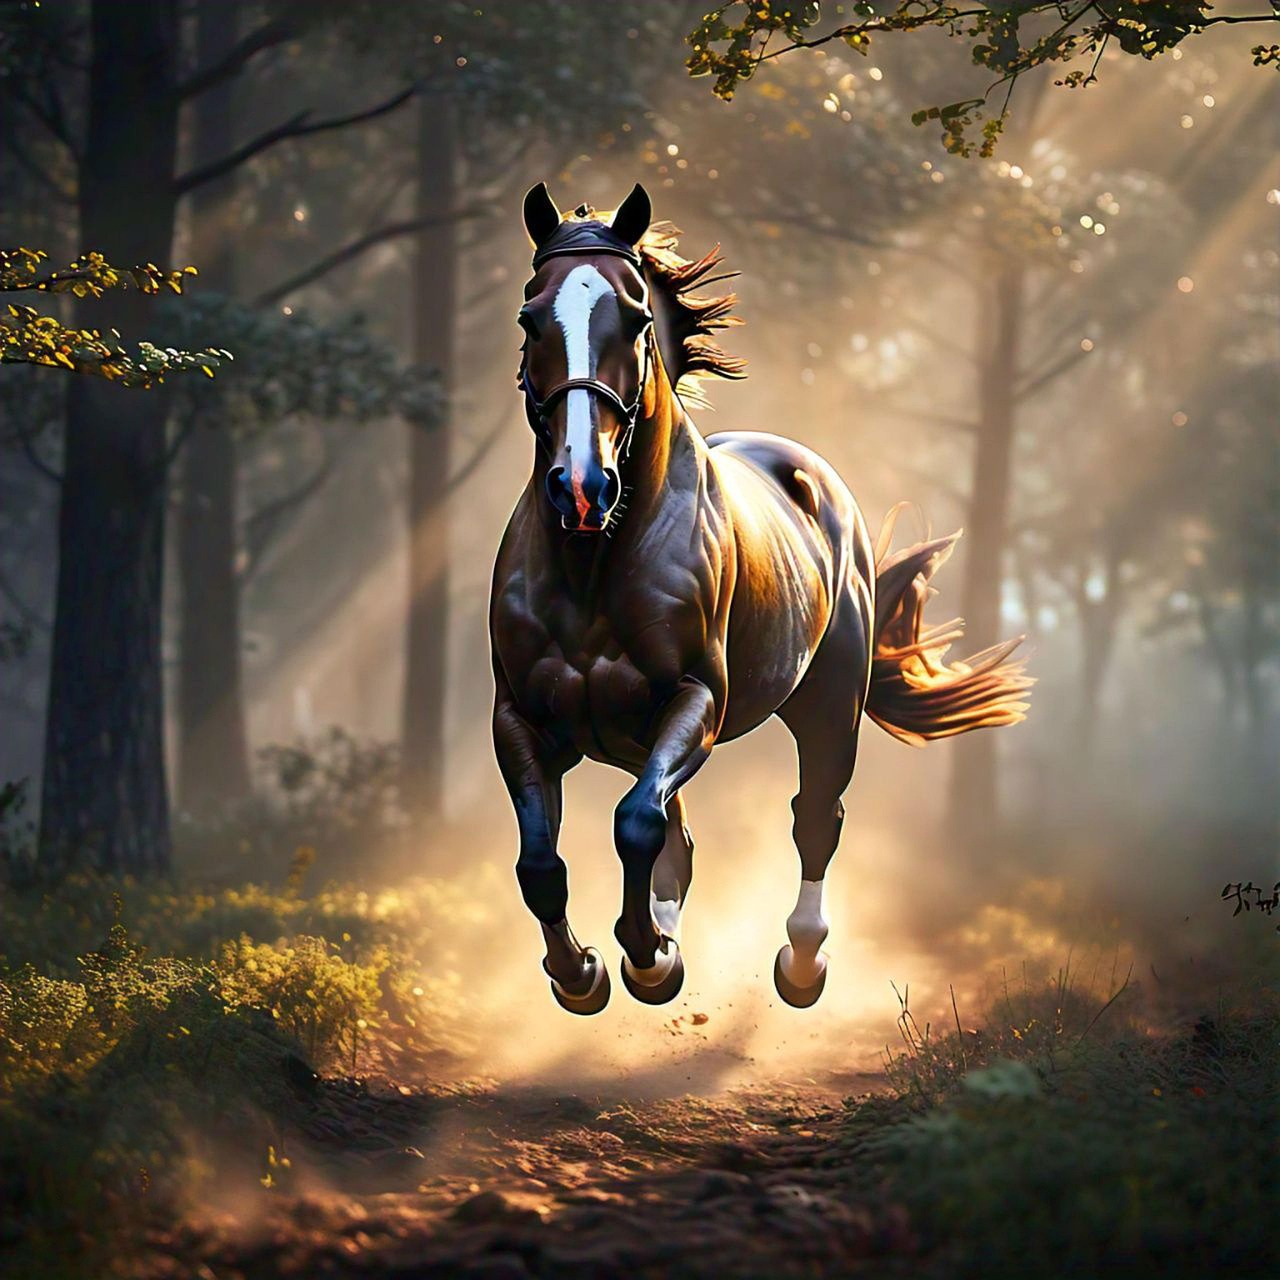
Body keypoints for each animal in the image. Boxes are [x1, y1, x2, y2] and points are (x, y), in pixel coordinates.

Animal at [489, 182, 1032, 1014]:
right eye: (529, 317)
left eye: (636, 318)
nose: (582, 487)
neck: (593, 562)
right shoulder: (520, 717)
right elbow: (541, 863)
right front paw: (582, 974)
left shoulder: (697, 700)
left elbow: (636, 824)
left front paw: (645, 959)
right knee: (678, 835)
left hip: (827, 704)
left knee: (814, 820)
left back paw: (800, 964)